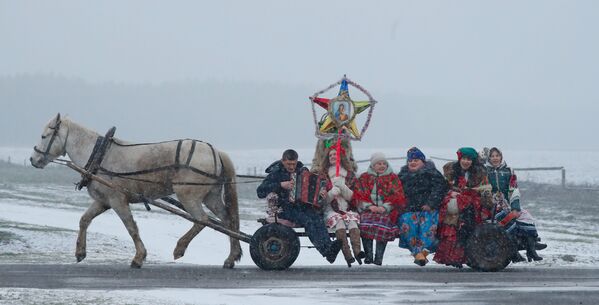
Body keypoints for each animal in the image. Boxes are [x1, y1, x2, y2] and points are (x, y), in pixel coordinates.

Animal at [29, 113, 241, 268]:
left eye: (44, 136)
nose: (33, 159)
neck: (100, 154)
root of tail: (215, 152)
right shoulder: (103, 201)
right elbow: (84, 220)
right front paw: (80, 252)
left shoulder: (117, 200)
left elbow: (130, 226)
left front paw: (139, 257)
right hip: (211, 196)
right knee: (227, 220)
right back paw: (231, 257)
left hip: (189, 196)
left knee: (202, 220)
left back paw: (180, 247)